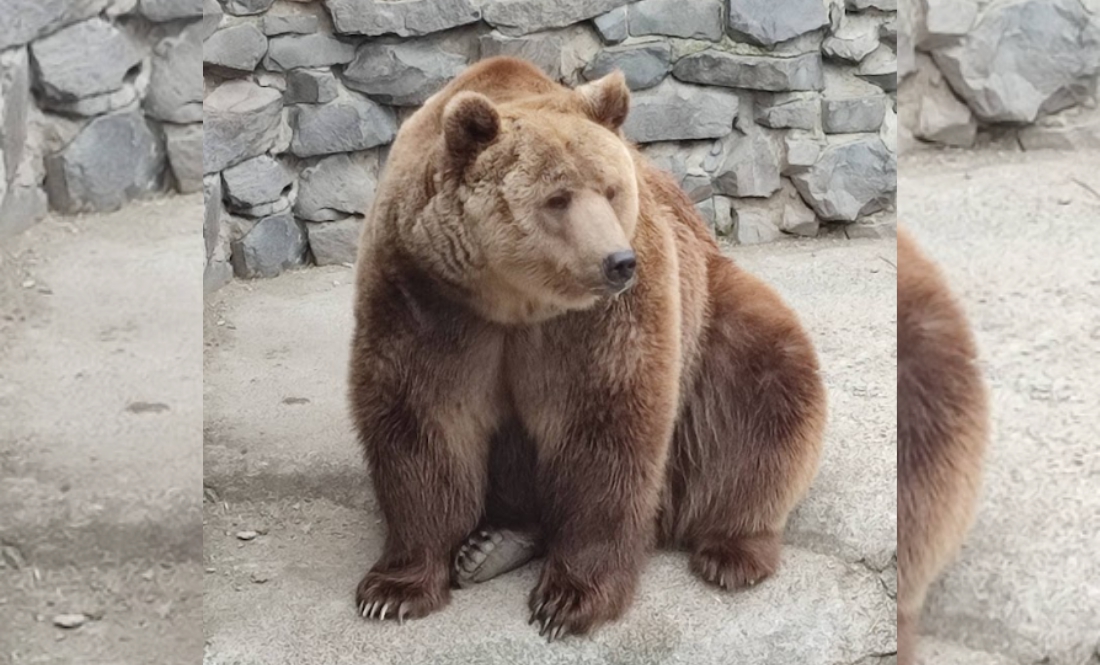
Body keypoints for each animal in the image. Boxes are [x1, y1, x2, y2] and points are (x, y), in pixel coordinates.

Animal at [349, 57, 827, 637]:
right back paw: (492, 544)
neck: (513, 301)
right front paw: (393, 589)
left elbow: (604, 428)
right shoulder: (423, 295)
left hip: (716, 325)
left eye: (612, 188)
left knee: (768, 392)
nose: (617, 262)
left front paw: (569, 600)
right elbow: (422, 421)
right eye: (557, 198)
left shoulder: (602, 319)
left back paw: (732, 551)